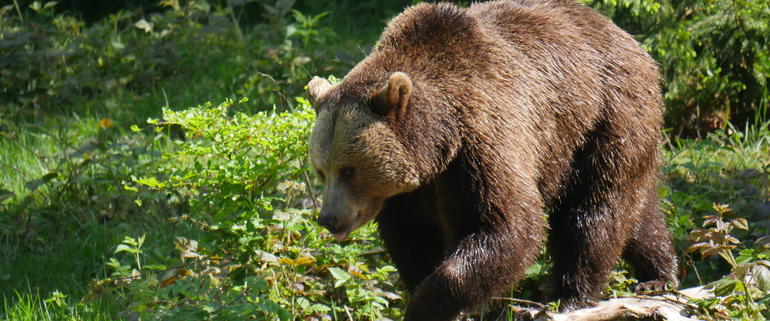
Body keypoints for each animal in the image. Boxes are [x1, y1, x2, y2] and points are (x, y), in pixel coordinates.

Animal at [304, 1, 676, 318]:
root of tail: (630, 41)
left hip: (603, 117)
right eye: (321, 170)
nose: (329, 218)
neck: (441, 139)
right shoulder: (412, 188)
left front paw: (428, 304)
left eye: (348, 169)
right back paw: (658, 273)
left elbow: (506, 225)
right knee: (637, 210)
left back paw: (569, 294)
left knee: (594, 207)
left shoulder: (484, 141)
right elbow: (413, 236)